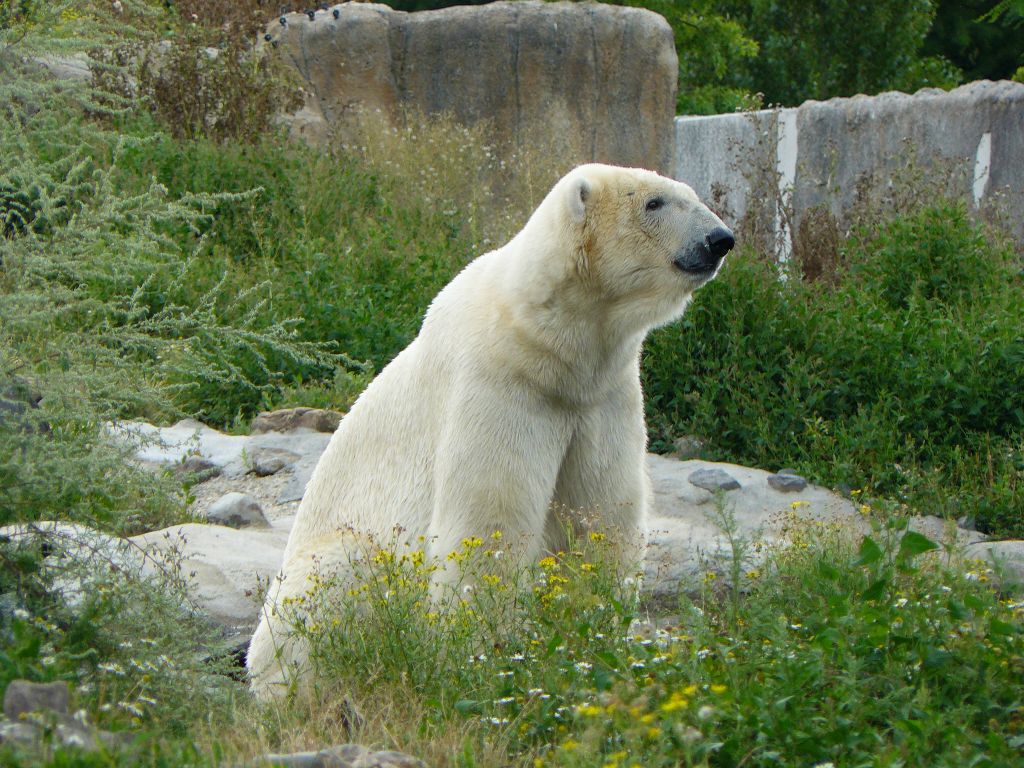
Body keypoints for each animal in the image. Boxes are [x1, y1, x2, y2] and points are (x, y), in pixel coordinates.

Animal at [246, 165, 733, 700]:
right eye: (654, 203)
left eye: (691, 195)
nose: (720, 239)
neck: (547, 336)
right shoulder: (499, 383)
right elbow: (490, 516)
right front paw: (484, 658)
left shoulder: (602, 395)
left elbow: (601, 509)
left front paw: (593, 634)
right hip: (329, 565)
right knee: (334, 579)